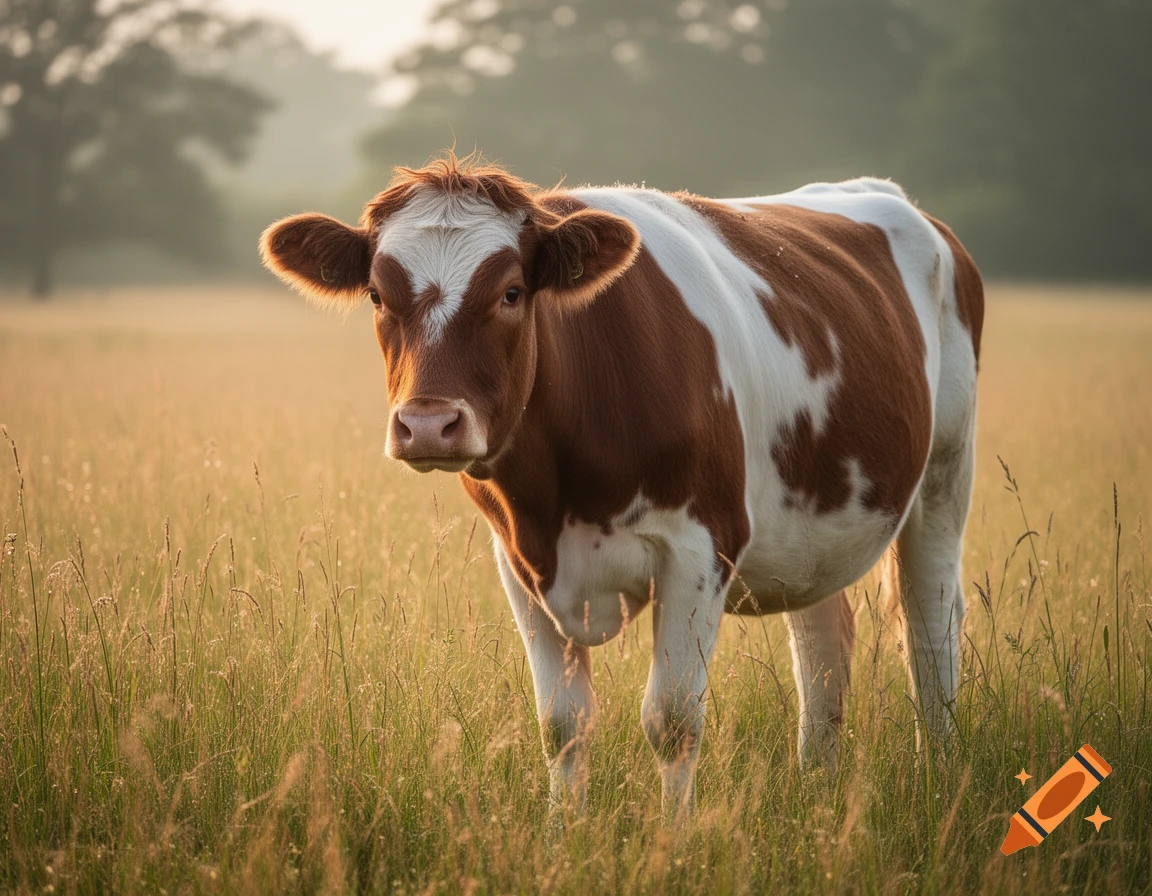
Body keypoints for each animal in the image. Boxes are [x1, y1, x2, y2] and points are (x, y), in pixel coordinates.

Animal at [260, 153, 983, 821]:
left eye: (512, 292)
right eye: (378, 297)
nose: (430, 424)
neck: (556, 499)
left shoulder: (702, 547)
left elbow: (672, 720)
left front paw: (674, 842)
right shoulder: (517, 560)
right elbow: (562, 724)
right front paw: (564, 836)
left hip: (944, 476)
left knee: (930, 628)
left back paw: (940, 782)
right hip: (819, 514)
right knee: (823, 644)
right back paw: (816, 787)